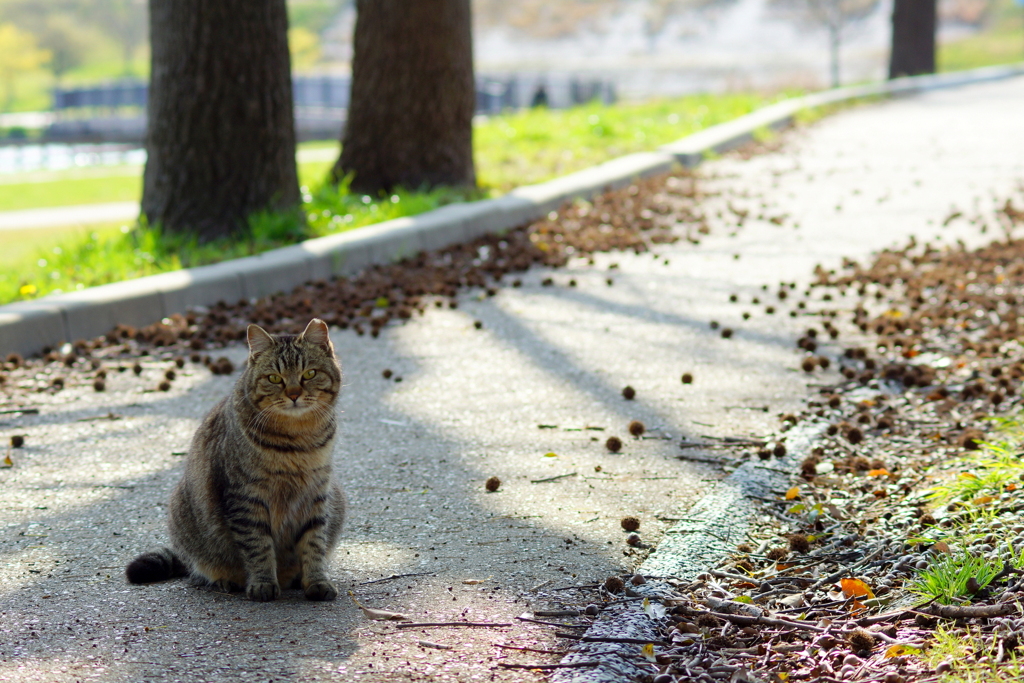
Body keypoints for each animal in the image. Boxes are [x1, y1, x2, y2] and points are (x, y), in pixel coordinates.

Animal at [126, 317, 344, 602]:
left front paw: (317, 581)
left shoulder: (317, 493)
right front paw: (263, 583)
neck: (298, 437)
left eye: (309, 374)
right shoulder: (245, 497)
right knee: (201, 570)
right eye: (274, 378)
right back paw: (225, 581)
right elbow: (258, 546)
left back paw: (294, 578)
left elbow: (314, 542)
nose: (294, 394)